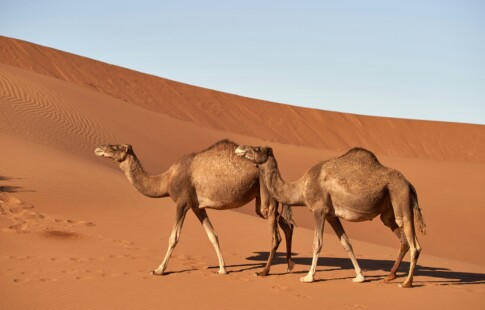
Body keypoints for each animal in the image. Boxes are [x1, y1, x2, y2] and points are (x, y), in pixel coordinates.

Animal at [92, 139, 294, 274]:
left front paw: (159, 269)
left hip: (266, 197)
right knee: (287, 225)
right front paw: (222, 269)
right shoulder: (197, 206)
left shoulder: (182, 202)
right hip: (261, 199)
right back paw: (289, 266)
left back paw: (265, 271)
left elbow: (173, 238)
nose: (98, 148)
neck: (166, 179)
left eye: (115, 146)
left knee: (275, 234)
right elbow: (213, 236)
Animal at [236, 145, 426, 288]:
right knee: (402, 239)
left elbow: (317, 243)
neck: (301, 188)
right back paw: (390, 276)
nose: (239, 148)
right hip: (389, 212)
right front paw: (359, 276)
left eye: (257, 148)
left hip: (400, 197)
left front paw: (308, 277)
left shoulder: (319, 210)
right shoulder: (331, 215)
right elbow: (346, 243)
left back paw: (407, 283)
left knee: (414, 244)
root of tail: (410, 185)